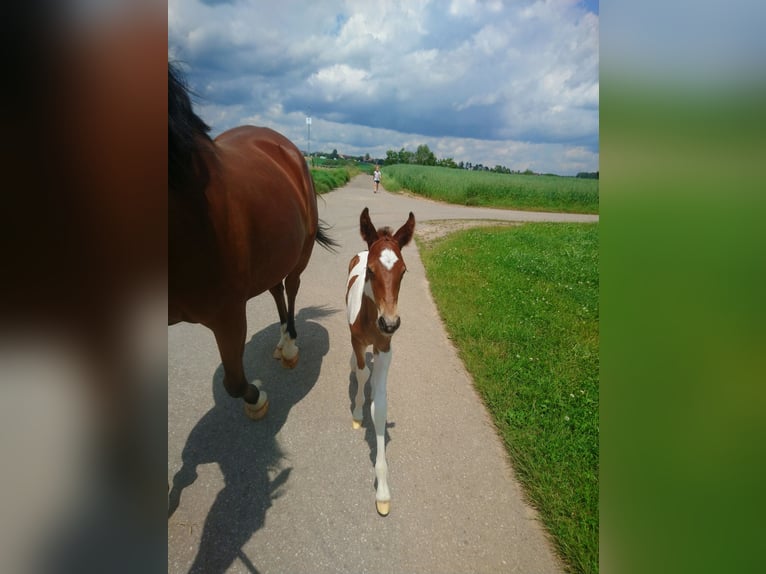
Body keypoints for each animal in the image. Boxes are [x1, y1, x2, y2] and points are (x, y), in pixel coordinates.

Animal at [170, 63, 338, 420]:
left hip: (299, 254)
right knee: (276, 289)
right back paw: (282, 338)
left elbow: (234, 383)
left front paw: (257, 398)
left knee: (291, 287)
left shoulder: (228, 314)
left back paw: (289, 344)